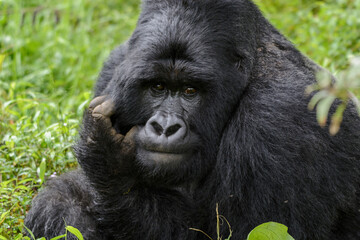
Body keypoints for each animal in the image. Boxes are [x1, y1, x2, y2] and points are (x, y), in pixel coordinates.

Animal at [23, 0, 358, 240]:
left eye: (190, 91)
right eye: (157, 87)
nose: (164, 127)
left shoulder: (282, 117)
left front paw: (109, 162)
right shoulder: (115, 69)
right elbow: (67, 200)